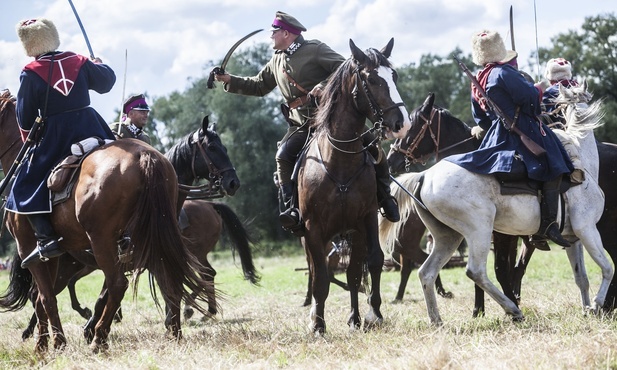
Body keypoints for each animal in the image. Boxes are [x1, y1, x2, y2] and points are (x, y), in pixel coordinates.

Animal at [0, 88, 212, 352]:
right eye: (213, 148)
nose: (232, 182)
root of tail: (144, 155)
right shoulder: (49, 254)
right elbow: (45, 298)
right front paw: (51, 341)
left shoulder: (30, 247)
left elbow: (47, 298)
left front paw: (52, 344)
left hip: (100, 243)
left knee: (117, 284)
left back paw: (98, 338)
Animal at [298, 38, 410, 332]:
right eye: (371, 79)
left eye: (394, 76)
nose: (402, 124)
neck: (339, 160)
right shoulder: (313, 229)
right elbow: (321, 277)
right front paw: (318, 325)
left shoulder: (365, 220)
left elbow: (371, 263)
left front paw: (372, 314)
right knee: (317, 271)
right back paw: (315, 315)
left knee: (352, 273)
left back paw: (355, 317)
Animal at [404, 82, 612, 326]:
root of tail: (425, 176)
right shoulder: (587, 229)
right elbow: (607, 268)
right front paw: (597, 304)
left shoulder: (573, 238)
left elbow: (582, 278)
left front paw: (587, 308)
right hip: (479, 230)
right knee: (476, 271)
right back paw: (512, 309)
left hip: (448, 237)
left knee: (427, 272)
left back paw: (436, 319)